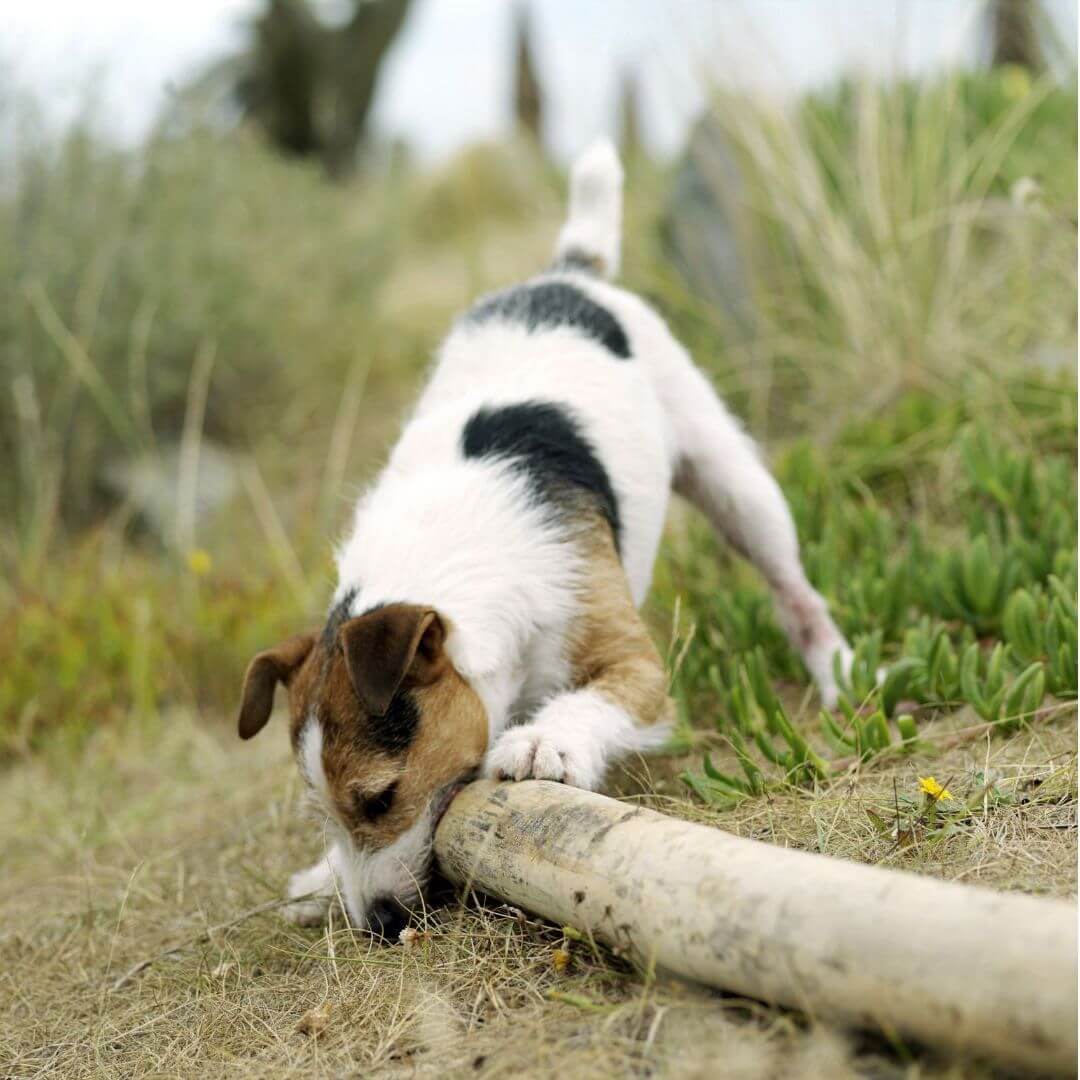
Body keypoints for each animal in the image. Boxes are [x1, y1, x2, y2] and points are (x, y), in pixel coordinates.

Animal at [236, 141, 851, 937]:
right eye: (323, 813)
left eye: (379, 797)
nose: (376, 923)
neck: (450, 558)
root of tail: (567, 272)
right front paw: (321, 878)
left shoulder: (634, 664)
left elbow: (596, 698)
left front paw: (539, 741)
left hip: (738, 487)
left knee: (795, 590)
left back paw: (837, 670)